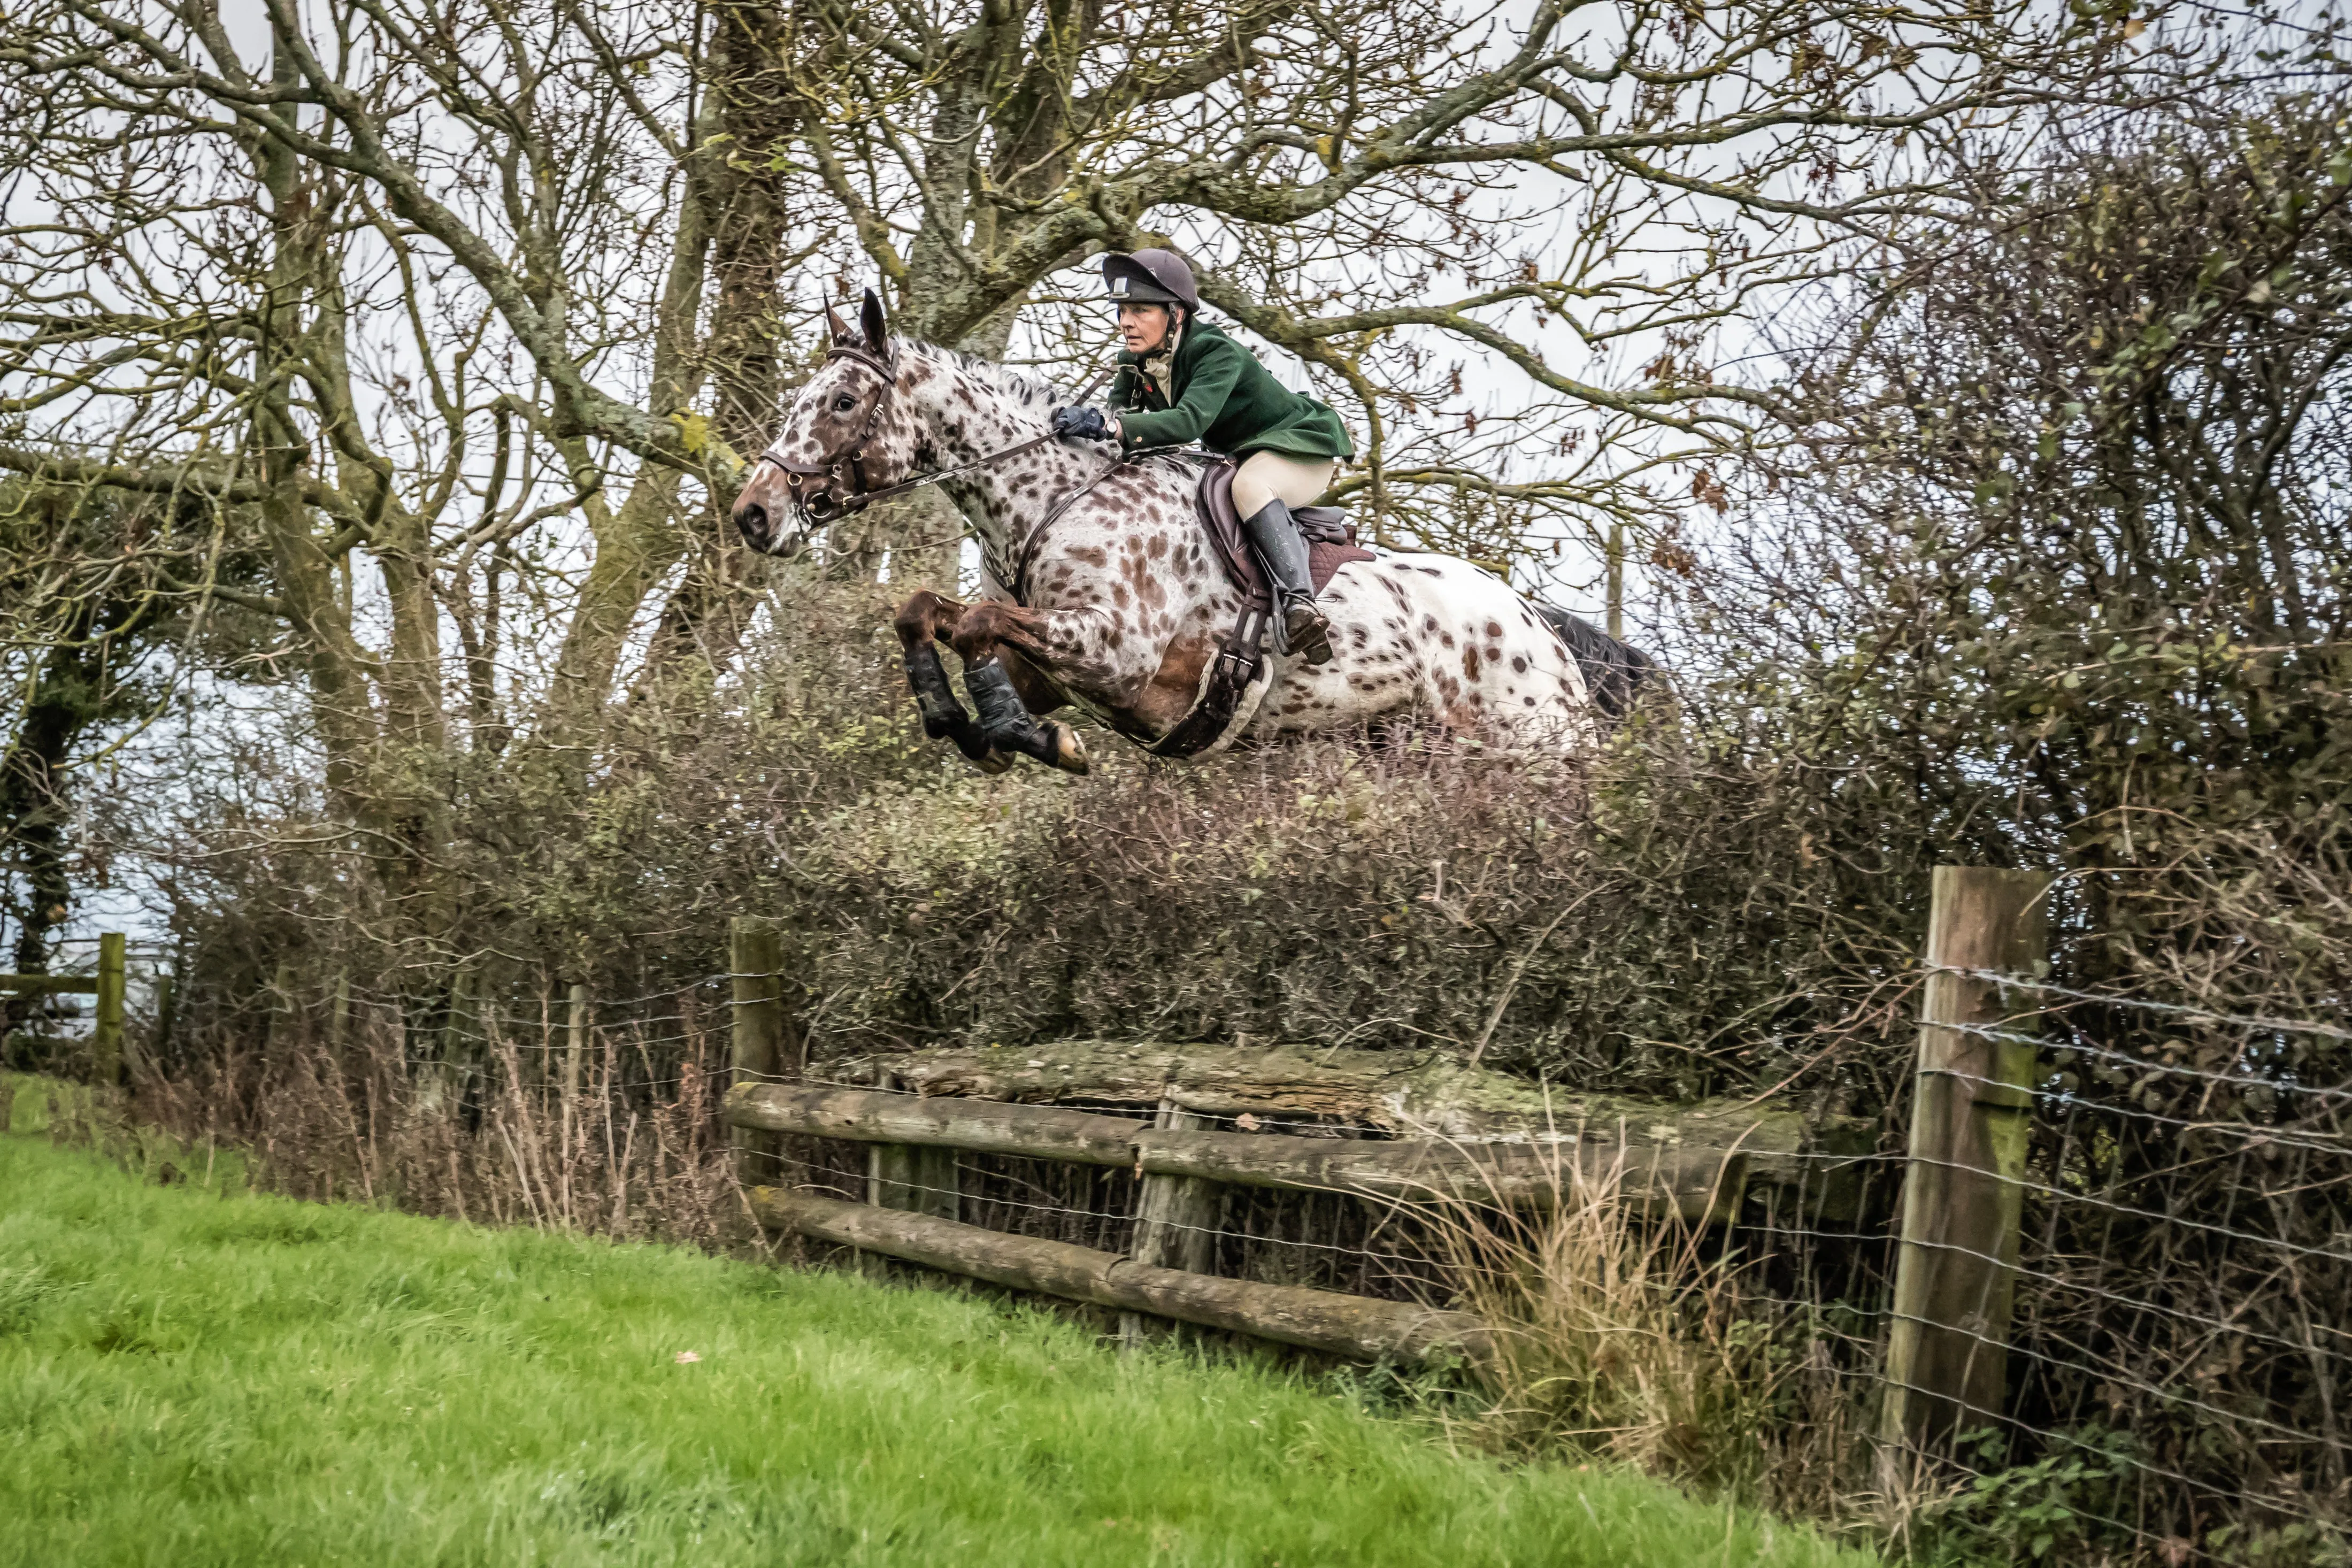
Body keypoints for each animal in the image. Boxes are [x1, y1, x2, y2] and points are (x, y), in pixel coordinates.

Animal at [734, 293, 1618, 771]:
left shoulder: (1116, 653)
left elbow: (977, 621)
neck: (1047, 502)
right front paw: (972, 726)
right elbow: (927, 614)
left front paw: (1023, 739)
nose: (754, 514)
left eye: (842, 402)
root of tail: (1543, 627)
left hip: (1532, 748)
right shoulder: (1049, 668)